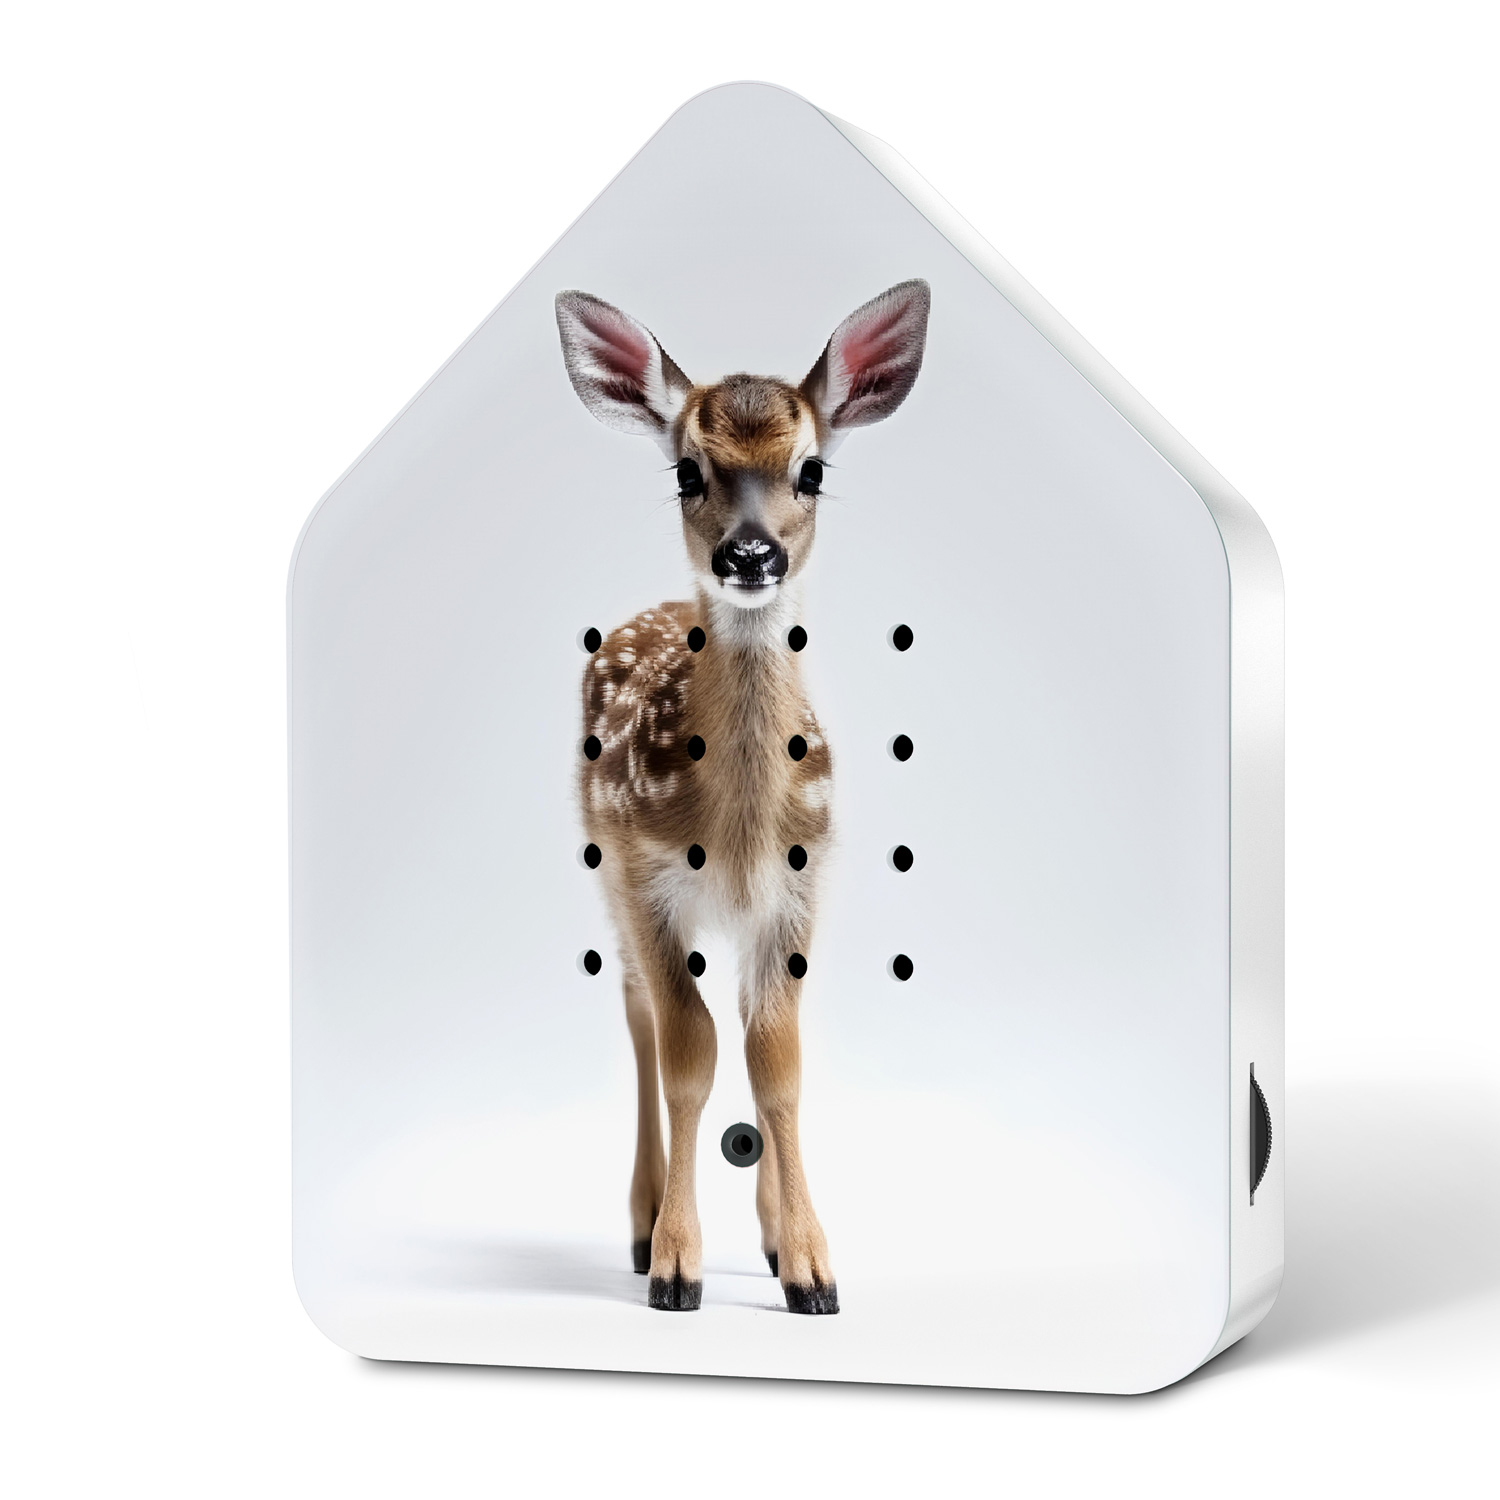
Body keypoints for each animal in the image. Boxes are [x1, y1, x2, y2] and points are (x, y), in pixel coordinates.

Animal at [555, 280, 930, 1314]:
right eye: (689, 471)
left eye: (811, 470)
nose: (751, 553)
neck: (737, 831)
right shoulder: (645, 876)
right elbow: (689, 1055)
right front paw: (677, 1266)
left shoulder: (797, 893)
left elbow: (775, 1062)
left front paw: (807, 1266)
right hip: (608, 876)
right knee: (642, 1016)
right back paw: (644, 1224)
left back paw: (760, 1232)